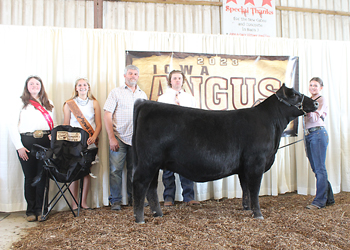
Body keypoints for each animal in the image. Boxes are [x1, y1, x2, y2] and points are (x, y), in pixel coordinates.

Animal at [131, 84, 318, 223]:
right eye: (294, 94)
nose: (316, 104)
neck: (272, 125)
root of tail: (145, 103)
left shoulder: (244, 168)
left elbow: (246, 189)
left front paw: (246, 208)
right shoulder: (256, 163)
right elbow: (254, 190)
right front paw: (258, 214)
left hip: (153, 164)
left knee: (151, 187)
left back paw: (158, 213)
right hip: (148, 161)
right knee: (140, 184)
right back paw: (140, 218)